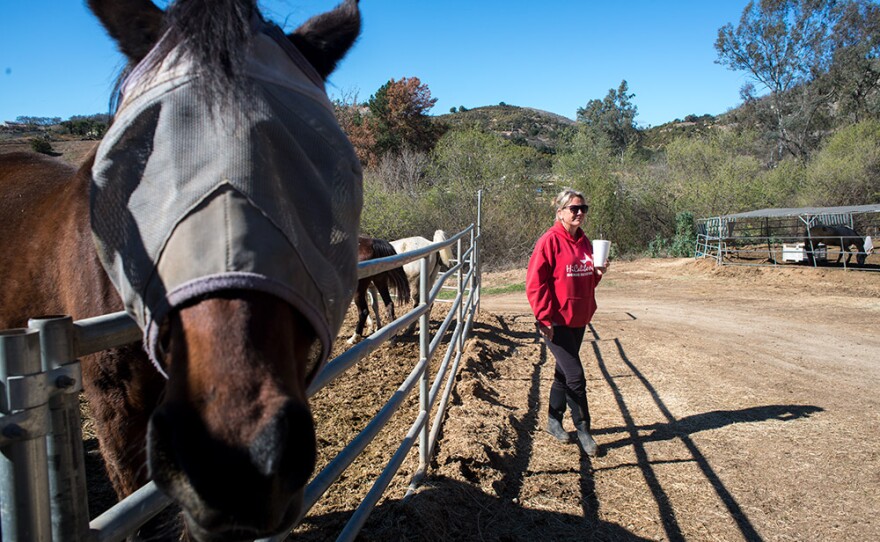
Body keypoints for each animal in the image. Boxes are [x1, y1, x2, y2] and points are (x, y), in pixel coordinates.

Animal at [696, 204, 880, 272]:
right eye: (863, 256)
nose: (862, 264)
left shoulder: (843, 245)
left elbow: (844, 253)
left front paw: (841, 263)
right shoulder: (844, 244)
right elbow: (847, 253)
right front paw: (842, 264)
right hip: (813, 241)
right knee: (809, 250)